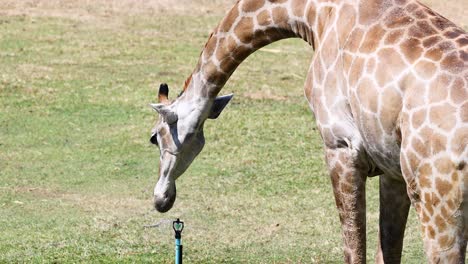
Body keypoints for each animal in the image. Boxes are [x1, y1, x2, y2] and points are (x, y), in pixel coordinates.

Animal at [151, 0, 468, 262]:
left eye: (154, 137)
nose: (161, 199)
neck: (314, 15)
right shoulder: (392, 170)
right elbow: (387, 250)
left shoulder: (341, 146)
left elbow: (354, 249)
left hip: (437, 200)